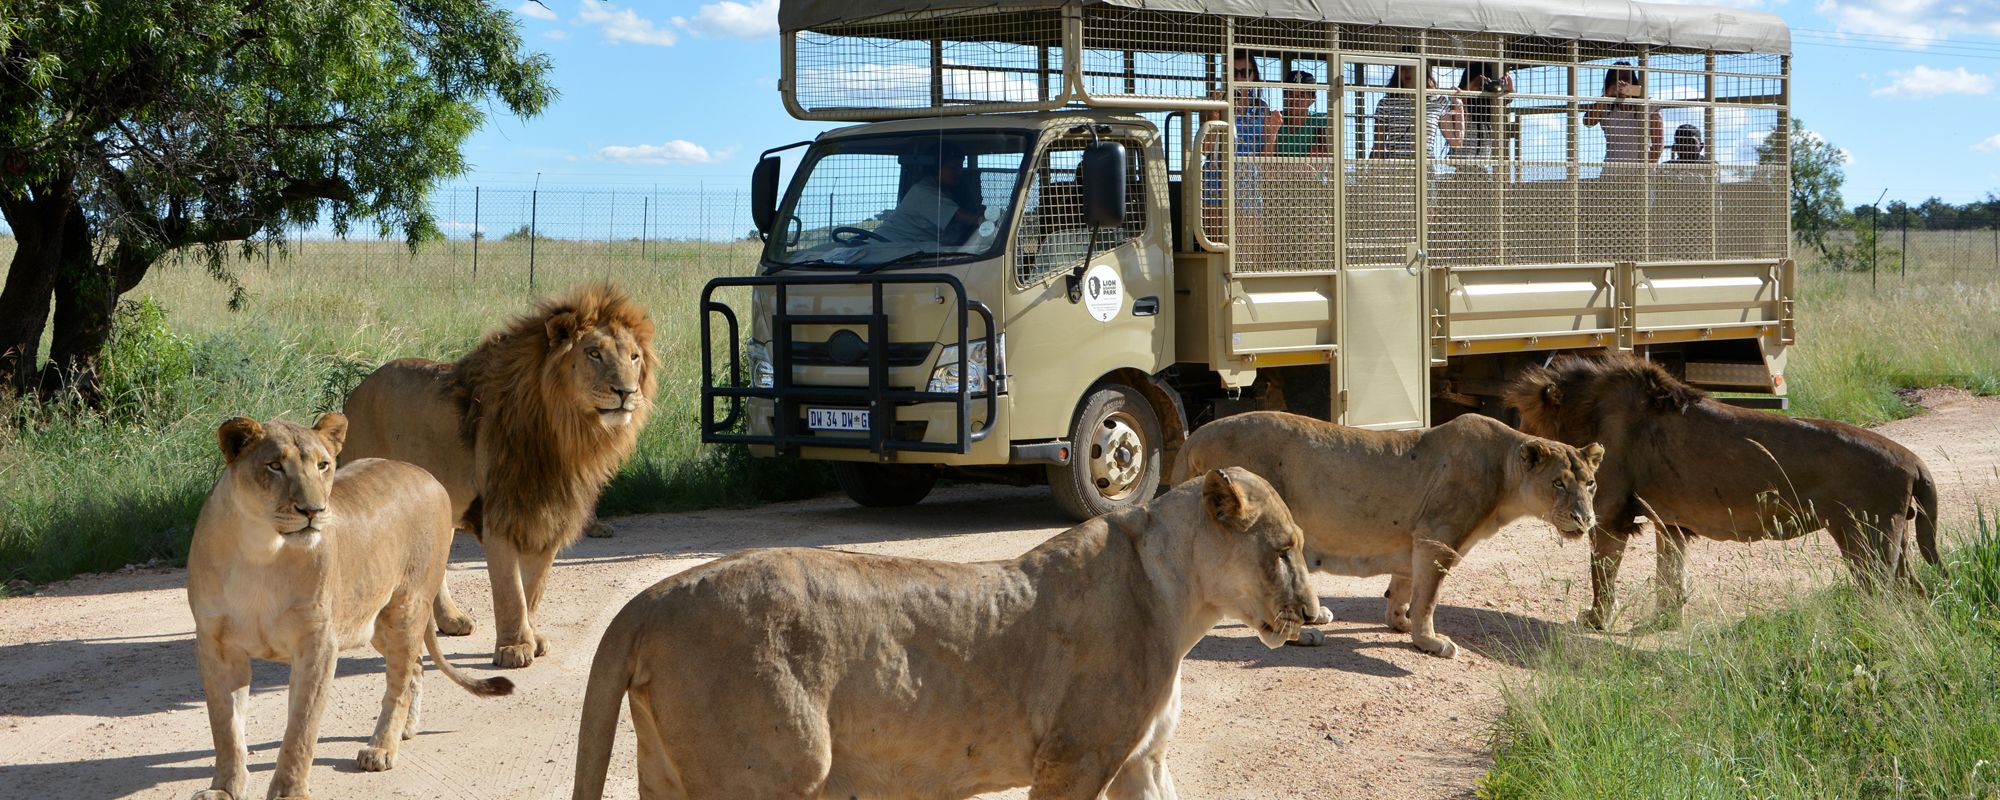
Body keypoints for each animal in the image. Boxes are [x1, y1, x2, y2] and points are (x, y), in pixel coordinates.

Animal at [186, 414, 513, 800]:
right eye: (275, 466)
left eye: (323, 465)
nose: (313, 510)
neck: (261, 550)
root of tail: (427, 475)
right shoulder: (217, 645)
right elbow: (226, 728)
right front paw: (224, 789)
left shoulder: (317, 643)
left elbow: (301, 729)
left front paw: (288, 792)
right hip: (374, 622)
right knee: (415, 667)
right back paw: (405, 729)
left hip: (406, 608)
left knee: (400, 680)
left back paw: (381, 748)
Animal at [341, 284, 657, 668]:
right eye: (594, 353)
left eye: (634, 357)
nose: (627, 392)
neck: (566, 434)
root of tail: (356, 392)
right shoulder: (501, 514)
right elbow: (510, 590)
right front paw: (514, 648)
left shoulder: (549, 514)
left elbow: (533, 589)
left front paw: (532, 637)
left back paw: (450, 621)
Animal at [569, 467, 1316, 800]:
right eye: (1284, 550)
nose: (1316, 616)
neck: (1180, 600)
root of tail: (649, 599)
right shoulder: (1074, 760)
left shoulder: (1142, 761)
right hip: (776, 774)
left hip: (667, 773)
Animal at [1174, 411, 1603, 658]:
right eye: (1558, 484)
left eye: (1591, 484)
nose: (1586, 520)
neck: (1505, 474)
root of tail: (1194, 436)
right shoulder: (1437, 537)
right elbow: (1429, 598)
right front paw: (1429, 642)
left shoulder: (1415, 540)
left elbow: (1404, 587)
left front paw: (1399, 622)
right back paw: (1305, 636)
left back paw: (1319, 617)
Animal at [1506, 353, 1941, 630]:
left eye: (1525, 419)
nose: (1519, 451)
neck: (1586, 410)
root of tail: (1913, 461)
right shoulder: (1670, 523)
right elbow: (1670, 575)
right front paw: (1664, 621)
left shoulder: (1611, 516)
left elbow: (1602, 576)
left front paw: (1597, 621)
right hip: (1893, 542)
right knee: (1916, 593)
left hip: (1867, 542)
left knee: (1885, 599)